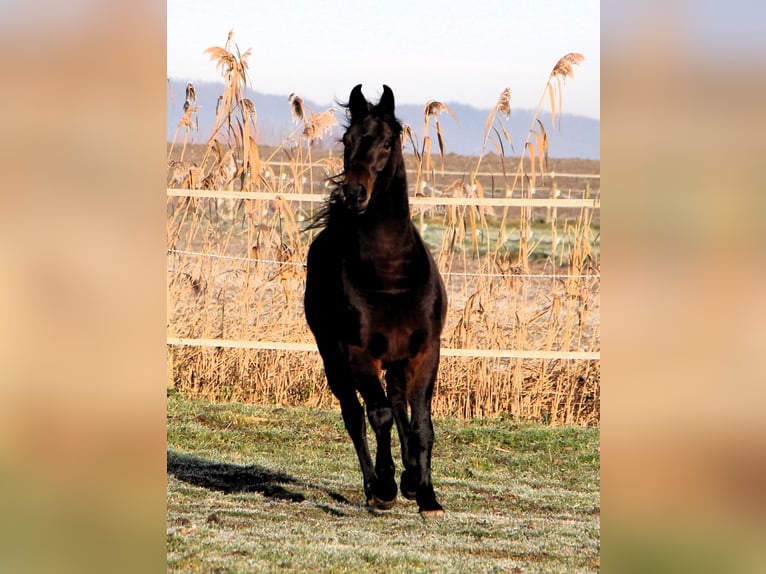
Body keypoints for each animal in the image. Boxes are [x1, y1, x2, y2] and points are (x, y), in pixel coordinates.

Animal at [306, 84, 450, 516]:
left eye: (387, 143)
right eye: (348, 141)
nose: (354, 194)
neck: (390, 274)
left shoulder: (424, 352)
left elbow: (420, 423)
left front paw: (426, 494)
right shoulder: (358, 354)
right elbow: (379, 414)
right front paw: (385, 487)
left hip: (397, 362)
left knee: (401, 406)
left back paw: (410, 479)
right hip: (332, 358)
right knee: (355, 414)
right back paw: (374, 486)